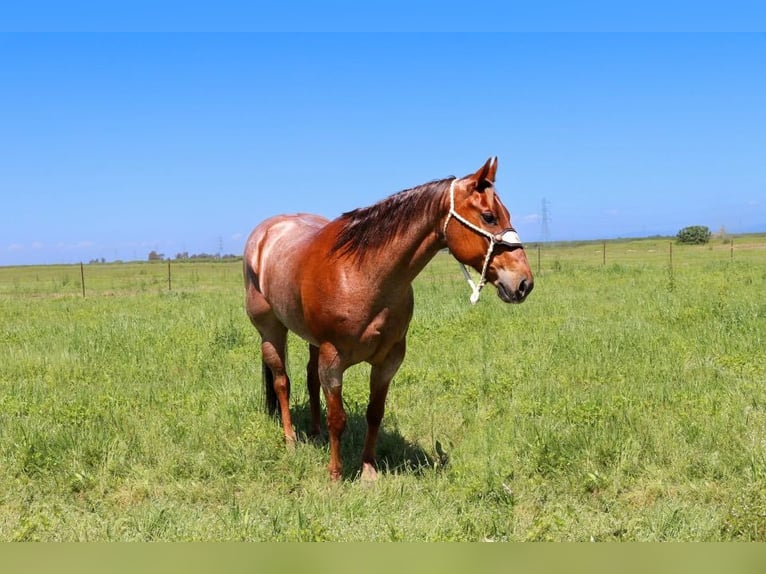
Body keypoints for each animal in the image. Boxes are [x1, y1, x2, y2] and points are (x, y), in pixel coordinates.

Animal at [244, 156, 536, 482]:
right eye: (488, 217)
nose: (523, 283)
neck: (363, 273)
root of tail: (264, 234)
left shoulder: (388, 359)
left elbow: (375, 413)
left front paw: (368, 470)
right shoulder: (333, 359)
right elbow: (337, 418)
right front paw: (335, 475)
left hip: (312, 341)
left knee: (309, 379)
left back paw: (315, 433)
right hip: (271, 331)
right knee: (282, 382)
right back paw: (291, 439)